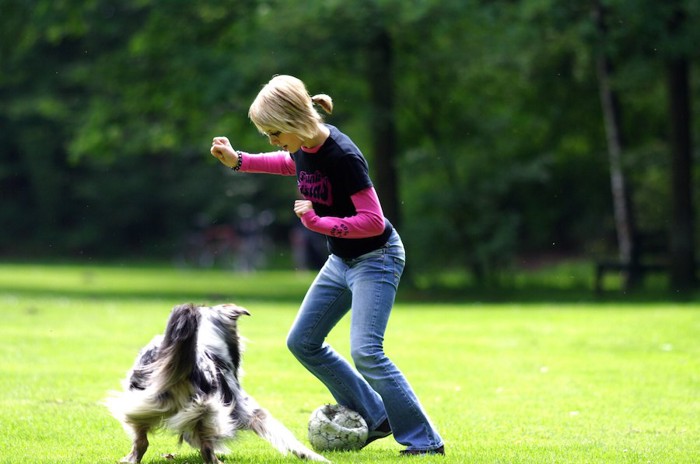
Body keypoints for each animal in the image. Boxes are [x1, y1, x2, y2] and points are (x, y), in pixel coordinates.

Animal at [105, 302, 330, 462]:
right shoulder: (249, 410)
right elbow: (285, 436)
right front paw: (315, 457)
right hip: (207, 410)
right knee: (206, 449)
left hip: (143, 403)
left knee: (141, 442)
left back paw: (129, 459)